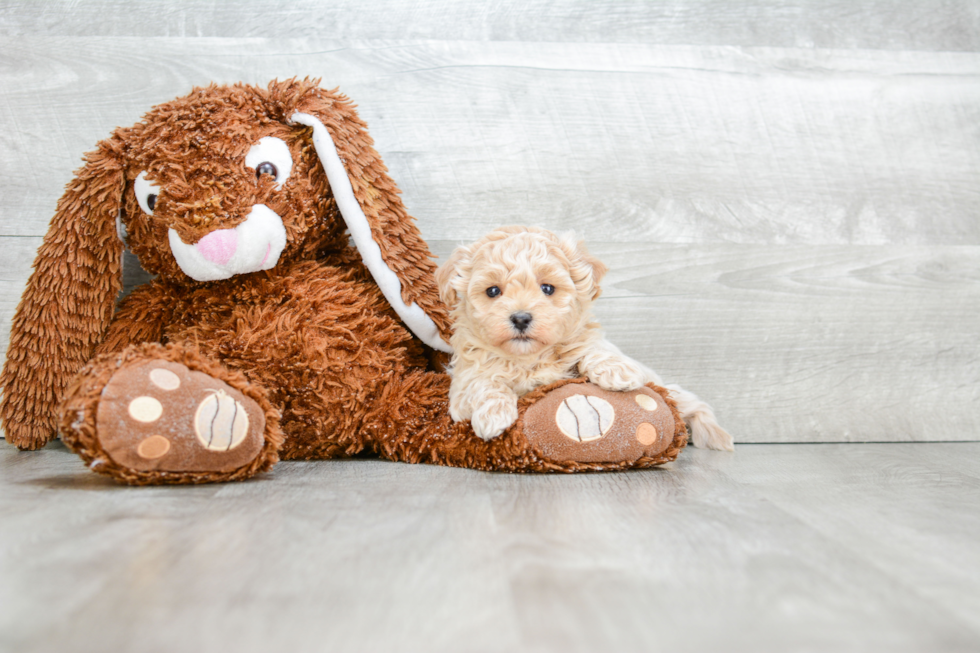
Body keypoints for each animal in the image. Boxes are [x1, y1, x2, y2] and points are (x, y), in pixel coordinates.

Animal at [438, 224, 736, 448]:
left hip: (670, 390)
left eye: (547, 288)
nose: (521, 318)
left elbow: (590, 350)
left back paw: (717, 437)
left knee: (694, 404)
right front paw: (494, 415)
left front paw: (616, 372)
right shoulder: (462, 388)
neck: (529, 359)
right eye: (492, 291)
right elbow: (484, 383)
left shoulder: (589, 345)